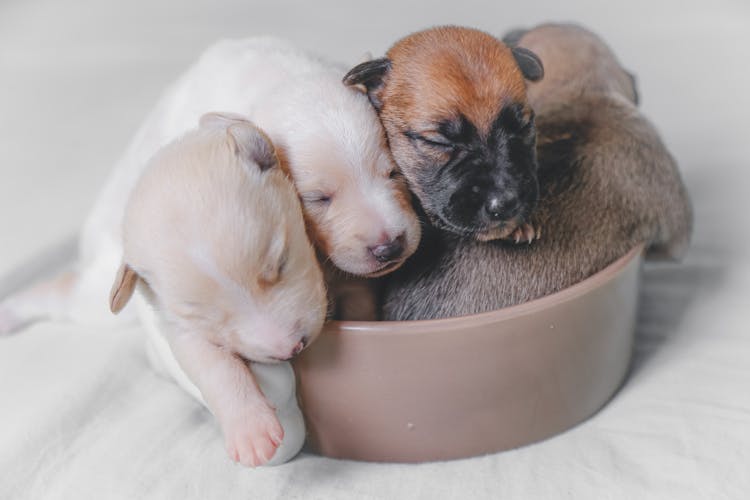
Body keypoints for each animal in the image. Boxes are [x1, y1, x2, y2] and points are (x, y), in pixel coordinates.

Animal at [110, 111, 328, 466]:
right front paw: (251, 430)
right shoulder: (180, 328)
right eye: (206, 317)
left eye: (280, 261)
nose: (289, 349)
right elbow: (214, 367)